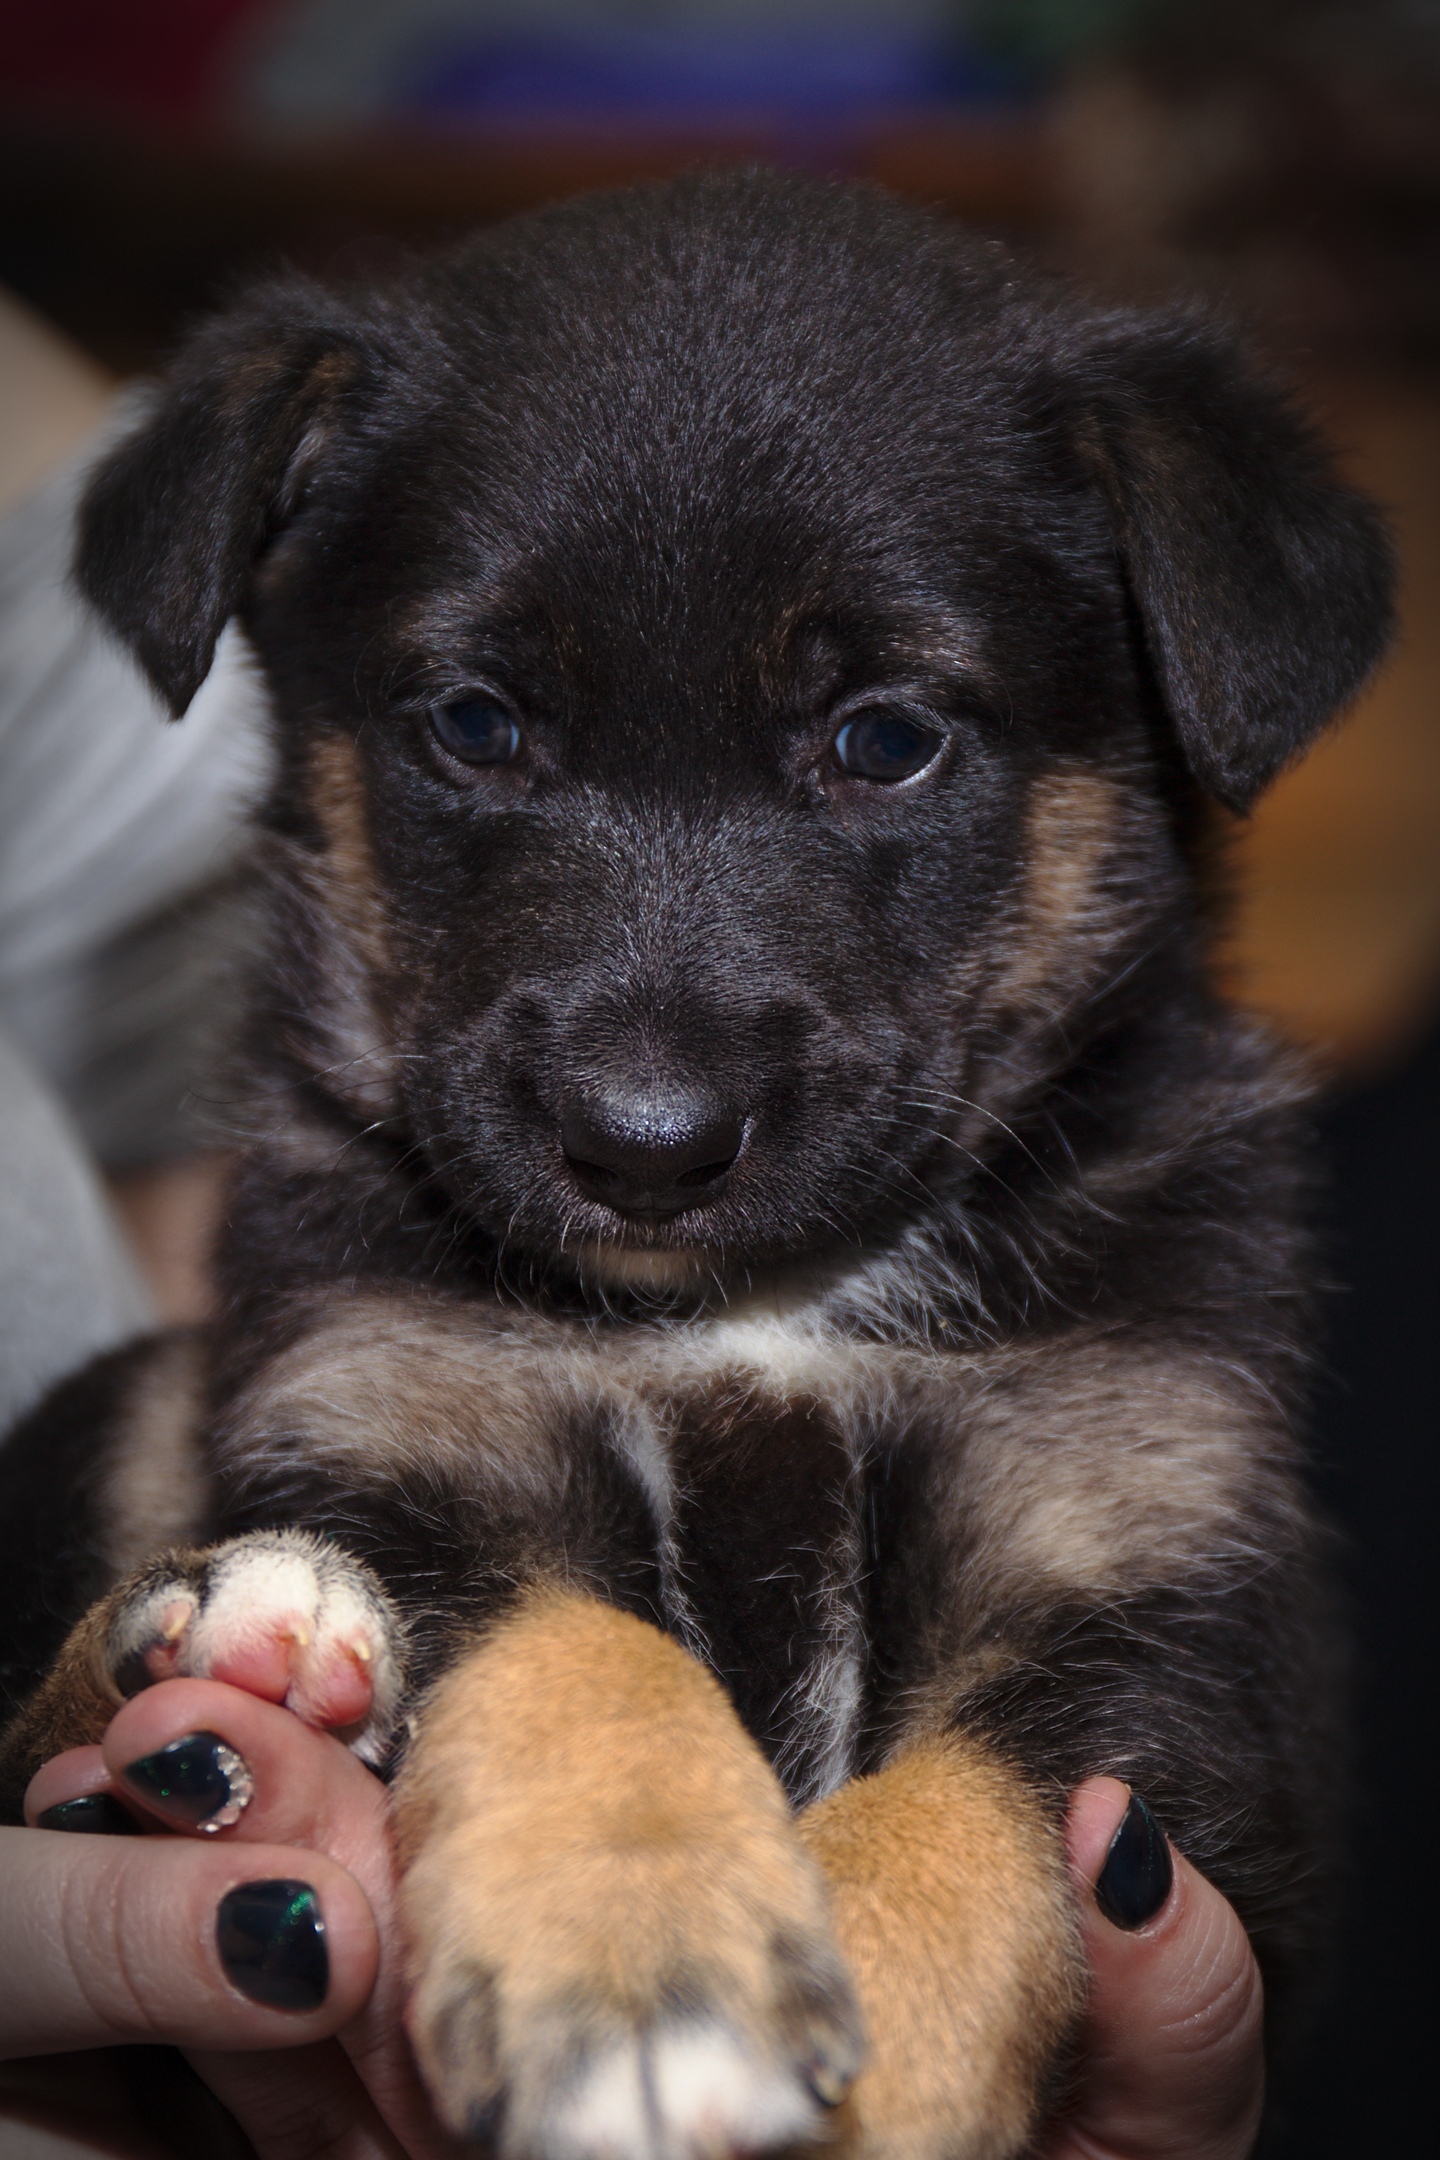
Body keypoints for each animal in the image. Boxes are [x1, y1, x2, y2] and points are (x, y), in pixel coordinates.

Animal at [0, 172, 1398, 2160]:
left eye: (887, 738)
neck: (765, 1310)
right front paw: (637, 1954)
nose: (642, 1148)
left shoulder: (1157, 1645)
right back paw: (213, 1631)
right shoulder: (404, 1430)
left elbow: (962, 1820)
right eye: (475, 724)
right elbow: (584, 1644)